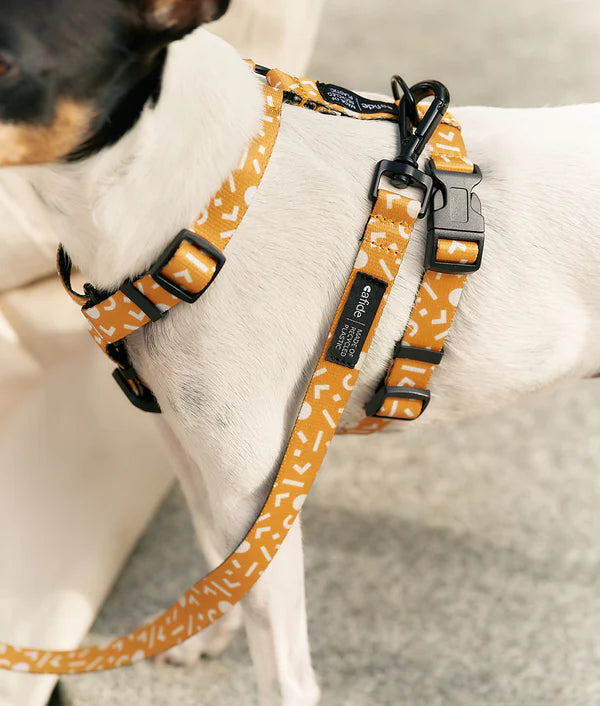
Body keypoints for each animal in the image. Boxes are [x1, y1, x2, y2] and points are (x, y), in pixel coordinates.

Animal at [0, 0, 596, 700]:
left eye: (4, 64)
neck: (210, 210)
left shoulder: (254, 485)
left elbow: (279, 660)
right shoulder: (190, 446)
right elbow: (221, 565)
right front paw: (208, 633)